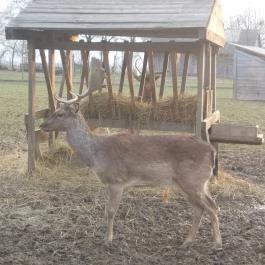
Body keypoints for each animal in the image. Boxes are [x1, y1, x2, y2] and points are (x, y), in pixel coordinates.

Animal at [38, 89, 221, 249]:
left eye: (60, 114)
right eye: (55, 110)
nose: (42, 125)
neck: (96, 154)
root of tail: (212, 151)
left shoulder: (116, 181)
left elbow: (110, 211)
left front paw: (107, 240)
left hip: (192, 181)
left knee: (211, 207)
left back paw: (216, 244)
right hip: (194, 183)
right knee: (202, 208)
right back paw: (187, 242)